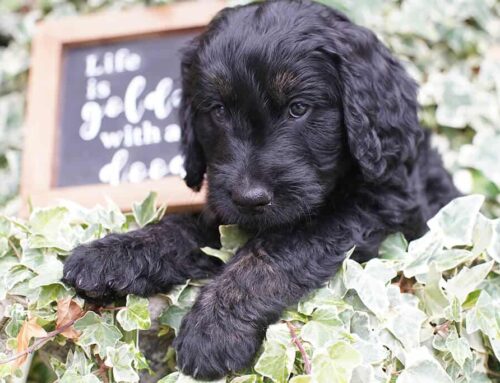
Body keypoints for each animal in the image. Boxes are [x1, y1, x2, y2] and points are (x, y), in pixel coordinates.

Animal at [63, 0, 460, 378]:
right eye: (218, 109)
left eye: (298, 108)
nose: (249, 198)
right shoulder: (224, 209)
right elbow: (181, 227)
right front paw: (113, 253)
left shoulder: (378, 204)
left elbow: (274, 251)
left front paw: (214, 328)